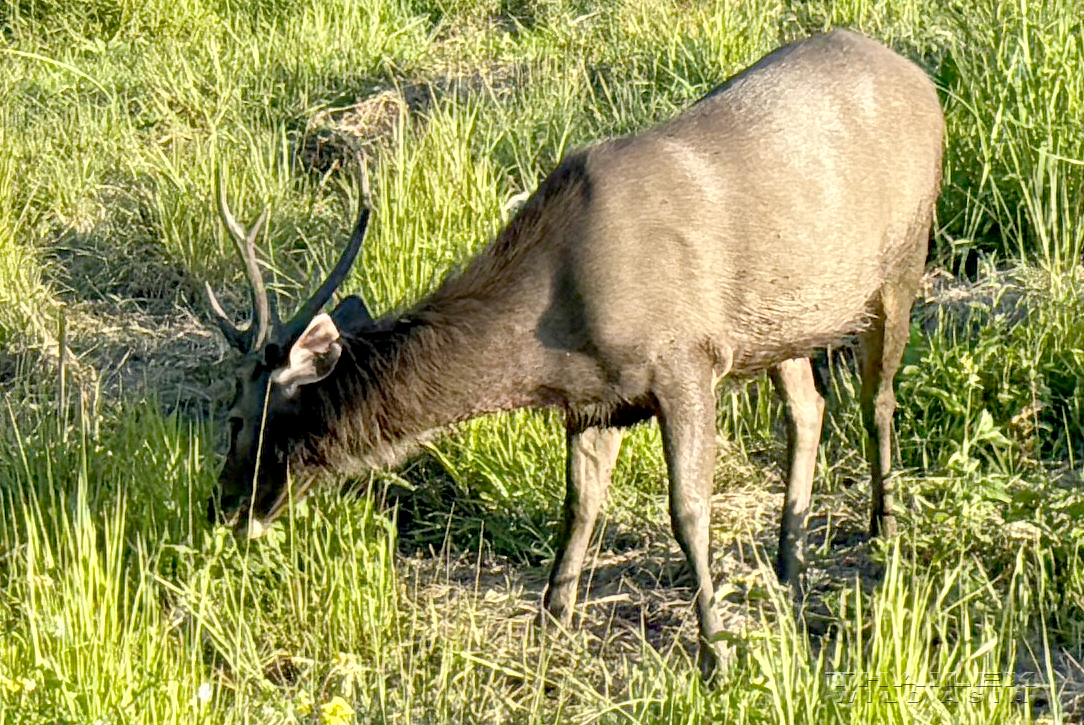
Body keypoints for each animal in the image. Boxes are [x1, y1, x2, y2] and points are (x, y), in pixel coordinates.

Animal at [207, 28, 945, 671]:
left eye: (236, 418)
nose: (224, 508)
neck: (553, 339)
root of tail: (923, 81)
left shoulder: (685, 361)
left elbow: (687, 511)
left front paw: (715, 650)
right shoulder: (595, 401)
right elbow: (580, 504)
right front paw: (550, 620)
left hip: (902, 261)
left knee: (878, 397)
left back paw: (883, 529)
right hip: (785, 322)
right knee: (809, 407)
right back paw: (789, 561)